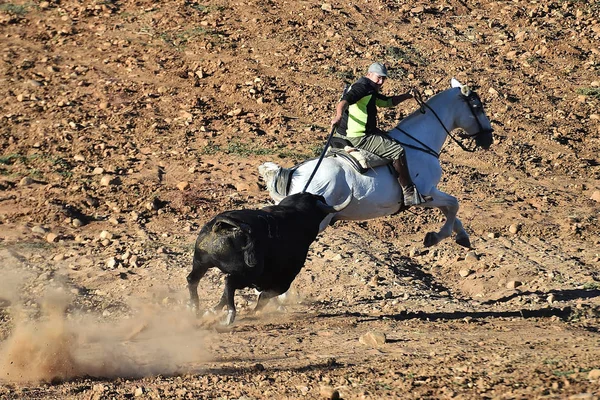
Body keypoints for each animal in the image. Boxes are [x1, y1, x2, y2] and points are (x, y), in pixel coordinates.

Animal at [258, 77, 492, 247]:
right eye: (477, 107)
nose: (489, 139)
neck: (420, 142)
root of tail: (293, 174)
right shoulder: (427, 193)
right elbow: (453, 204)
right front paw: (435, 237)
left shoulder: (432, 192)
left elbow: (451, 209)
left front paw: (462, 237)